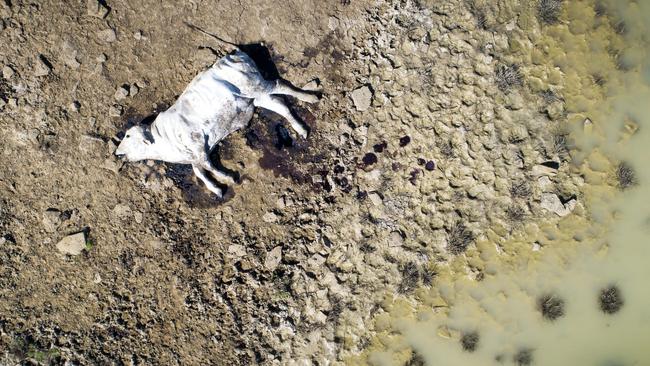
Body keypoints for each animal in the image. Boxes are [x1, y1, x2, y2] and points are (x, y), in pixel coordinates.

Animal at [116, 49, 322, 197]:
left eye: (128, 135)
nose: (117, 153)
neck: (162, 141)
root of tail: (234, 55)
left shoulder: (197, 143)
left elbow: (209, 166)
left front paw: (228, 177)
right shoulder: (194, 157)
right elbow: (200, 172)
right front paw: (216, 188)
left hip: (256, 86)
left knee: (281, 85)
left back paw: (310, 97)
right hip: (256, 98)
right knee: (280, 105)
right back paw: (300, 128)